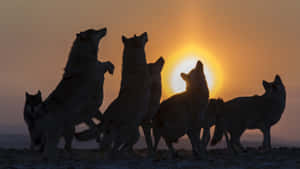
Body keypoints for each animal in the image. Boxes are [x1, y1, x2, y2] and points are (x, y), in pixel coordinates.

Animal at [30, 27, 110, 160]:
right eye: (94, 31)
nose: (105, 28)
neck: (84, 57)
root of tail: (40, 111)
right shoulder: (97, 70)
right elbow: (104, 63)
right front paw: (111, 67)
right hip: (56, 135)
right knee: (49, 151)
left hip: (69, 131)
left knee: (64, 148)